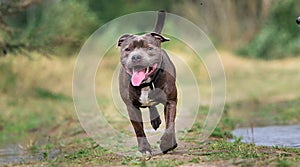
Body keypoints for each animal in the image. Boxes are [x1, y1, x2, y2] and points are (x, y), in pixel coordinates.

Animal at [116, 11, 178, 155]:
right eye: (127, 49)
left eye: (149, 48)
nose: (136, 57)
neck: (145, 84)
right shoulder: (131, 106)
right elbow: (138, 129)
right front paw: (144, 148)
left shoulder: (171, 101)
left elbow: (170, 124)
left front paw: (167, 144)